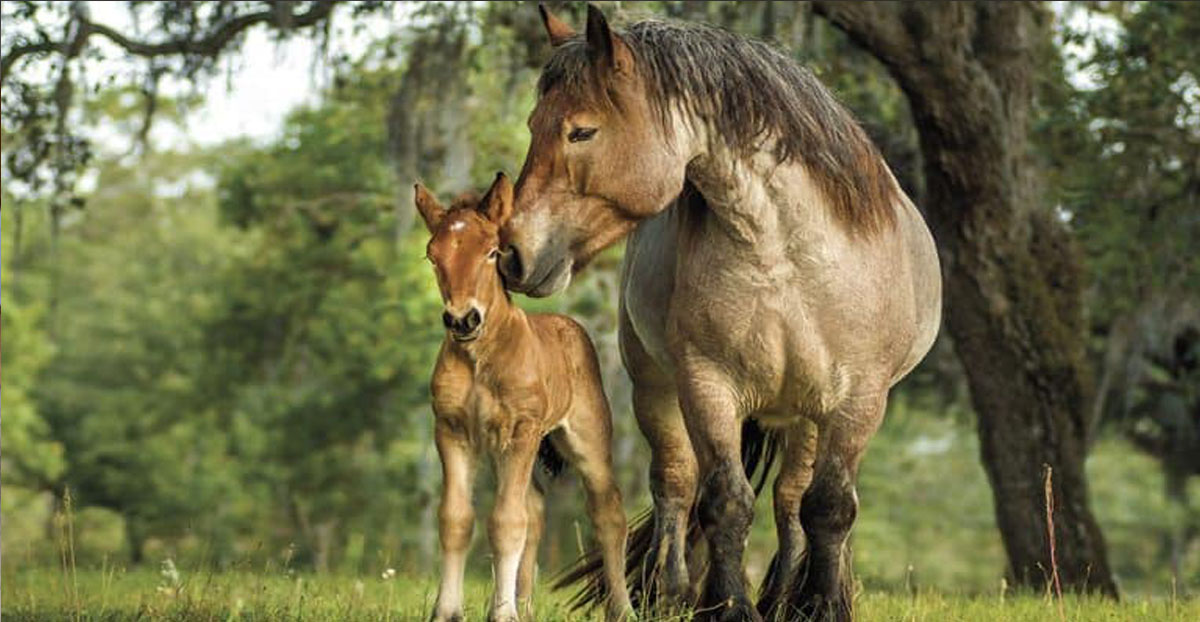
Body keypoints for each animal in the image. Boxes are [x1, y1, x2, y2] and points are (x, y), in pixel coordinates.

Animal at [417, 171, 633, 622]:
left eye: (491, 252)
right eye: (432, 256)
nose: (462, 319)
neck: (481, 360)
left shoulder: (520, 431)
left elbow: (505, 522)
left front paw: (502, 614)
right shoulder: (452, 431)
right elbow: (456, 519)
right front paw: (448, 611)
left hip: (584, 438)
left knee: (607, 512)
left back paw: (622, 608)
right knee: (535, 509)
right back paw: (528, 605)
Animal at [501, 6, 940, 622]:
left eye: (581, 131)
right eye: (533, 125)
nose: (513, 253)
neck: (785, 257)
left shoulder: (857, 400)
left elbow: (828, 506)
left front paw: (822, 605)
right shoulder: (708, 386)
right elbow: (725, 499)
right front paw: (729, 604)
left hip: (804, 415)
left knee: (791, 498)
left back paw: (782, 598)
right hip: (656, 389)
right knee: (675, 482)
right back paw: (669, 595)